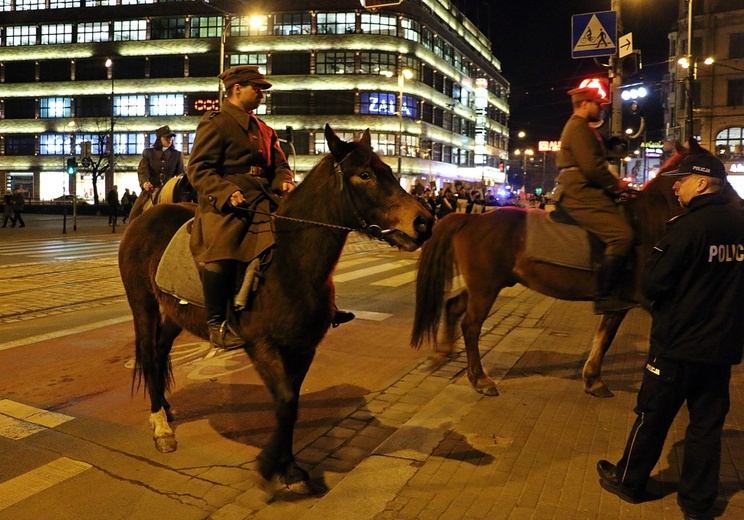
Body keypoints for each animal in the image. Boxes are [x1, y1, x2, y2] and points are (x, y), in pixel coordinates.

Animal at [118, 124, 434, 494]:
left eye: (390, 172)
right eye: (366, 175)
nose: (424, 222)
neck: (290, 262)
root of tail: (144, 217)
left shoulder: (302, 348)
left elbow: (292, 402)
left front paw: (290, 467)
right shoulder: (262, 346)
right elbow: (284, 401)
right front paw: (271, 463)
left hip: (176, 313)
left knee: (160, 350)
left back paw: (166, 409)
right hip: (143, 304)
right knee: (148, 353)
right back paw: (161, 425)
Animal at [410, 138, 740, 398]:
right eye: (721, 173)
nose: (739, 205)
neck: (647, 220)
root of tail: (472, 218)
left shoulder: (620, 301)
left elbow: (604, 338)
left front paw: (593, 380)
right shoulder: (648, 299)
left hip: (485, 284)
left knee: (453, 307)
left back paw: (442, 353)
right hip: (485, 287)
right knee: (471, 325)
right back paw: (480, 379)